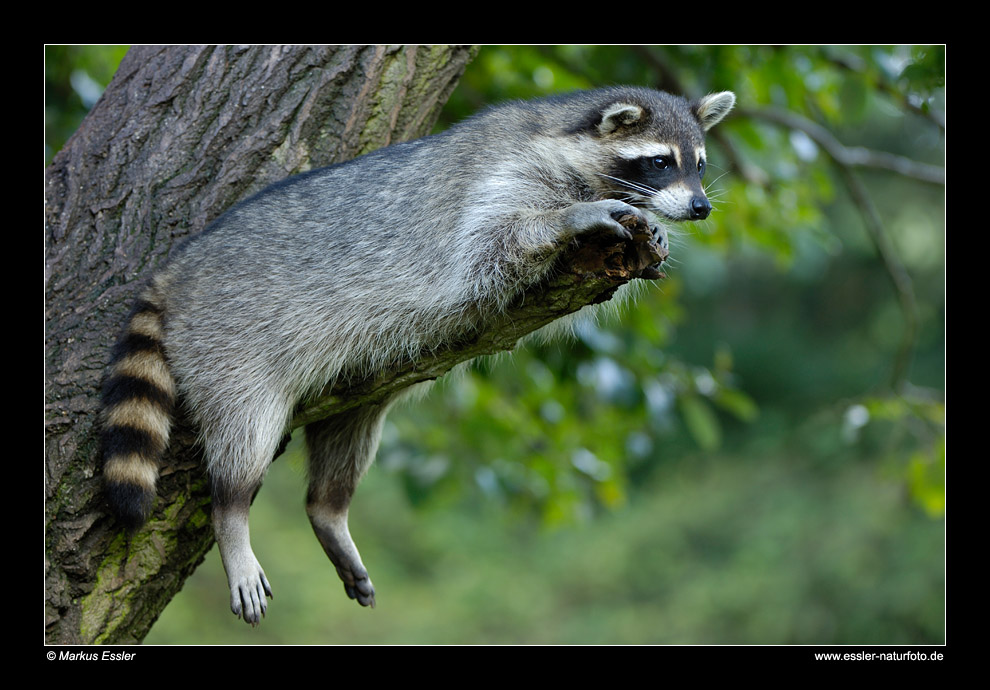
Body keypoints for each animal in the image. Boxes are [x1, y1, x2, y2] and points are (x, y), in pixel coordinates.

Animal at [101, 86, 736, 624]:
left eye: (700, 164)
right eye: (660, 161)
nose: (701, 207)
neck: (563, 137)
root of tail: (177, 270)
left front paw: (653, 235)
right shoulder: (501, 181)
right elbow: (496, 243)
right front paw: (573, 218)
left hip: (351, 385)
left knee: (348, 437)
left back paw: (329, 508)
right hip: (230, 344)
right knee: (244, 439)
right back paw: (231, 514)